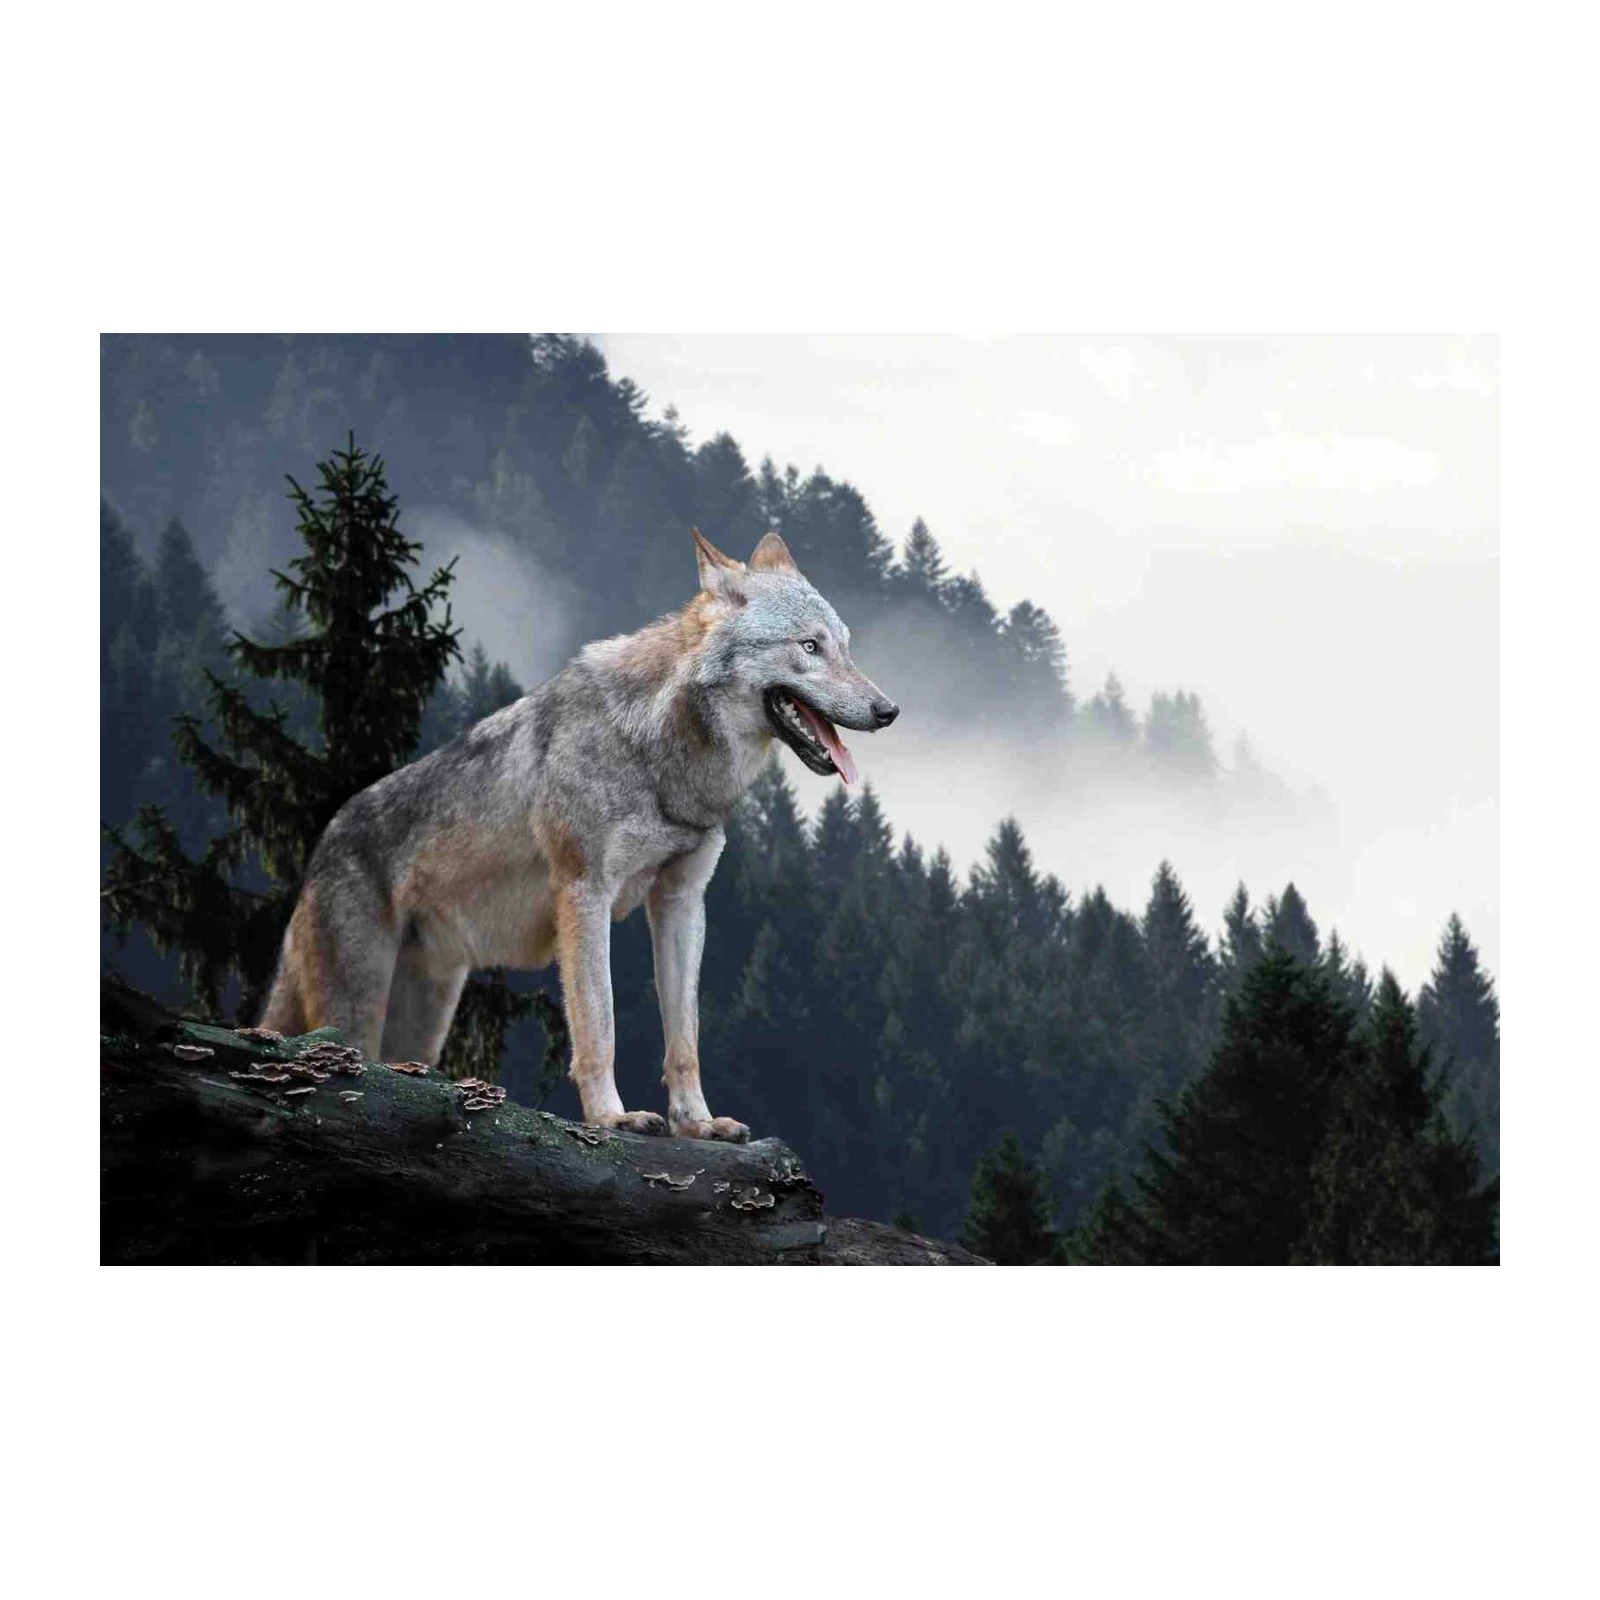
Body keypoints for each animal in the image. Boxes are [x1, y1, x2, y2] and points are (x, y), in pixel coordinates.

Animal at [259, 529, 899, 1141]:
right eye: (809, 646)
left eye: (845, 645)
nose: (888, 710)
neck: (658, 753)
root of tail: (320, 847)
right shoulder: (585, 893)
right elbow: (600, 1023)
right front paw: (612, 1118)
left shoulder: (682, 902)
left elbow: (684, 1038)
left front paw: (696, 1123)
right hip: (357, 1012)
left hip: (424, 1021)